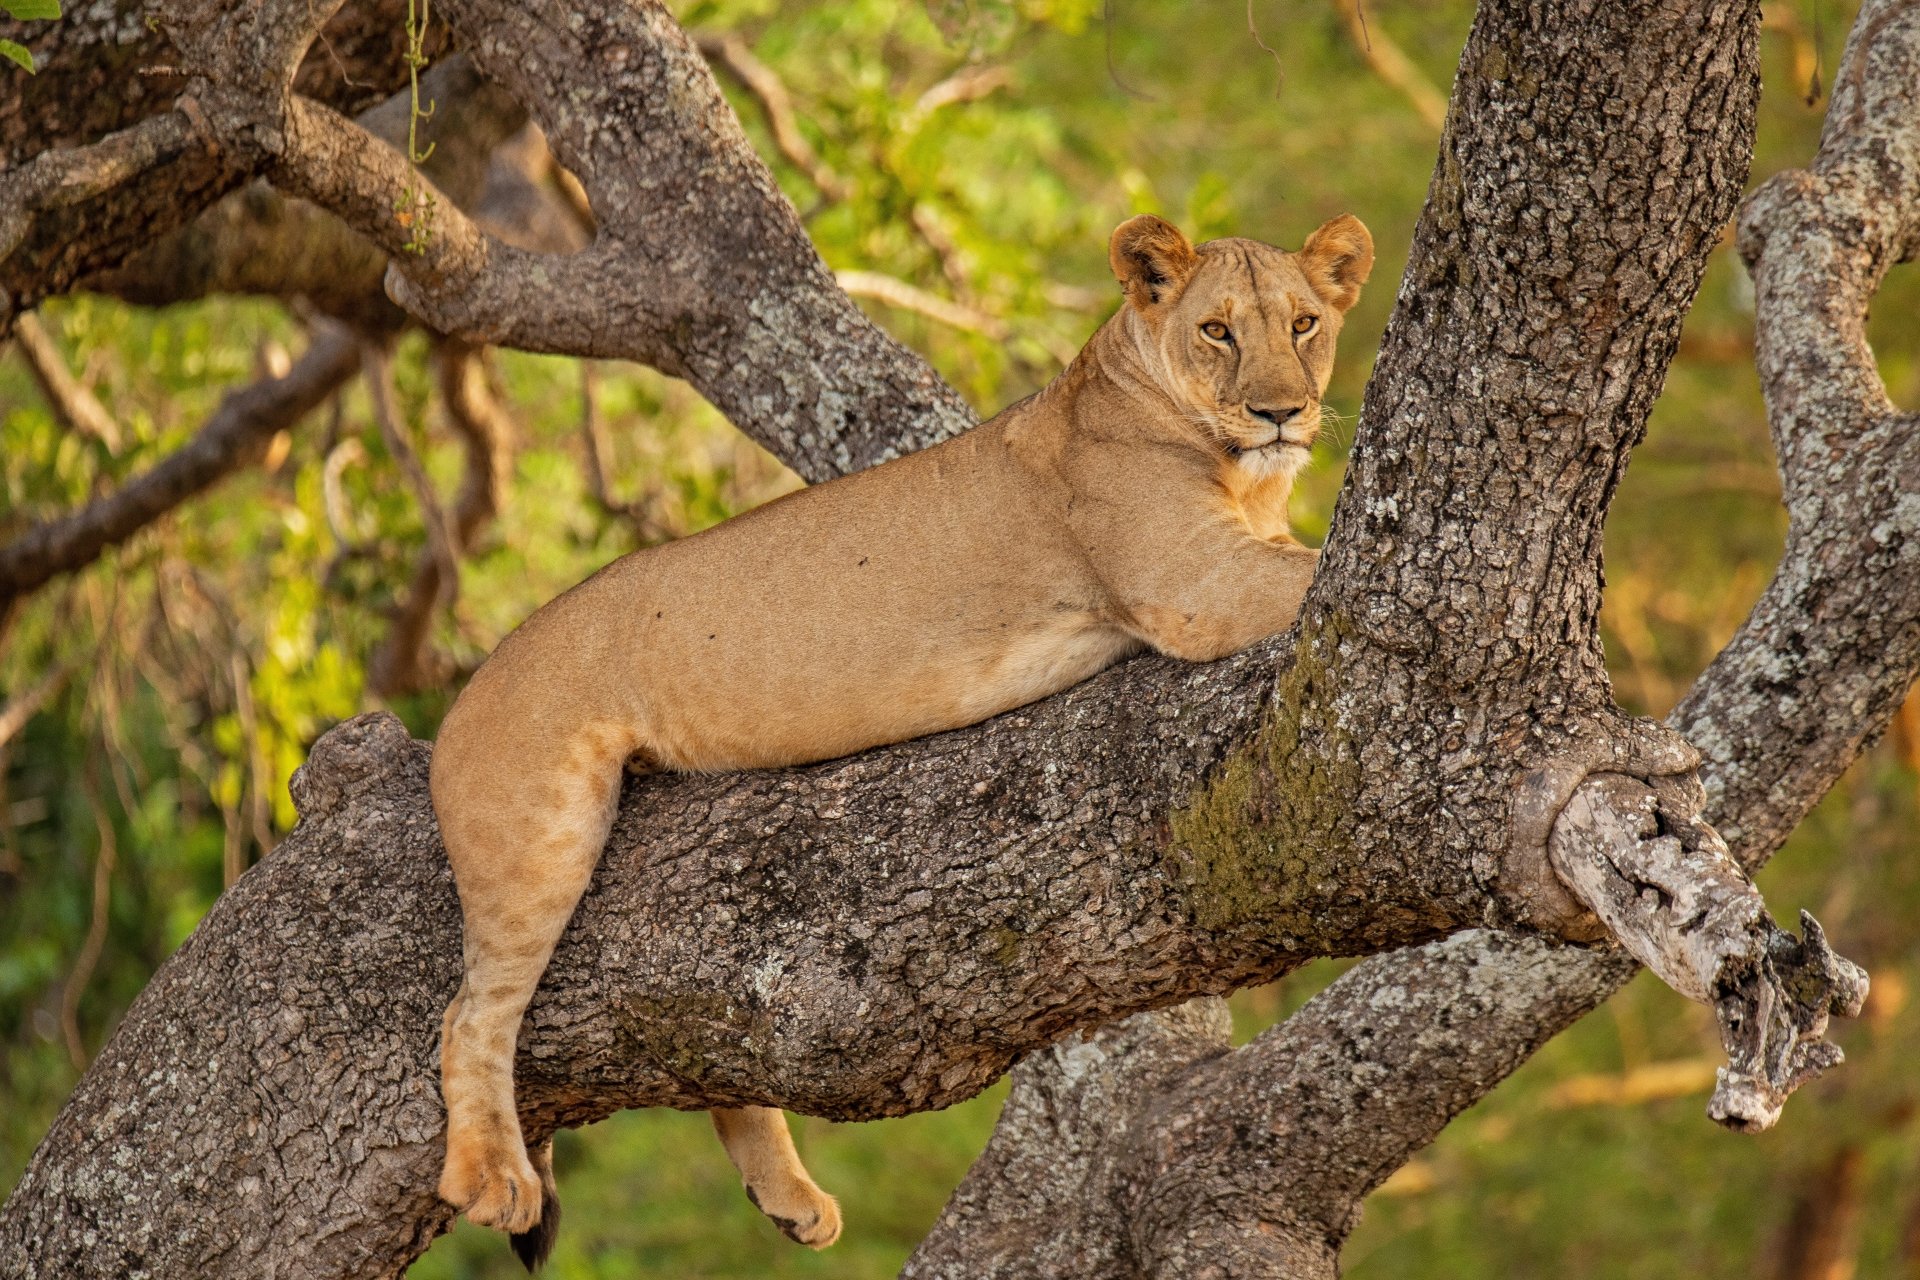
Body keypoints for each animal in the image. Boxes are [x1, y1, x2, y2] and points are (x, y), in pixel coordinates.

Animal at [428, 211, 1374, 1266]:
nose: (1280, 413)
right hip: (539, 834)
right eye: (1217, 331)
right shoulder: (1195, 586)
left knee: (705, 1042)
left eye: (1302, 323)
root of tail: (466, 691)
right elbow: (1318, 563)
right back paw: (493, 1181)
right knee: (469, 1017)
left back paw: (790, 1198)